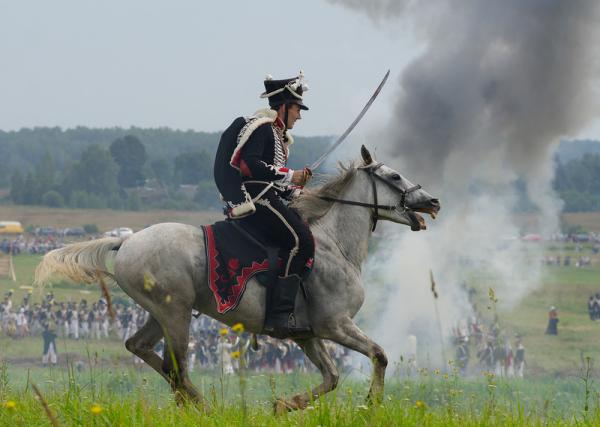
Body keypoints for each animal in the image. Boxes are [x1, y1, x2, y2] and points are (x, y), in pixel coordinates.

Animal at [35, 145, 438, 412]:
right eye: (394, 176)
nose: (432, 202)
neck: (335, 245)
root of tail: (127, 240)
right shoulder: (335, 325)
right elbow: (379, 355)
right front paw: (371, 403)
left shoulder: (308, 335)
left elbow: (332, 377)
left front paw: (283, 405)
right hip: (175, 313)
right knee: (176, 368)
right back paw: (203, 409)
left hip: (161, 313)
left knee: (145, 351)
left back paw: (197, 405)